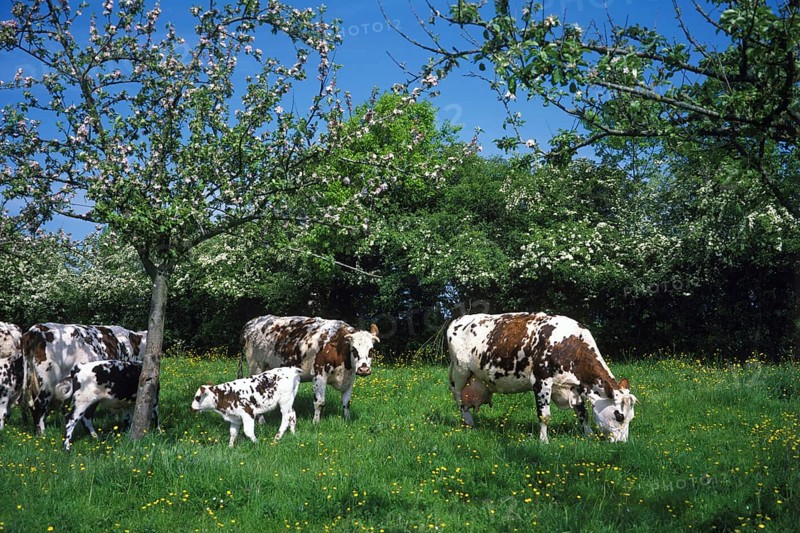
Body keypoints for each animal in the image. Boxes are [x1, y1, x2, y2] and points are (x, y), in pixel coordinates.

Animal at [242, 315, 378, 424]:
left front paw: (347, 420)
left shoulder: (350, 379)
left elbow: (346, 403)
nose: (364, 369)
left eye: (371, 350)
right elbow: (319, 402)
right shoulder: (319, 374)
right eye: (354, 349)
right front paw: (316, 422)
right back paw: (261, 421)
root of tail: (253, 322)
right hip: (255, 367)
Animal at [447, 313, 637, 443]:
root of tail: (459, 319)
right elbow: (544, 415)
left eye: (631, 418)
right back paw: (468, 422)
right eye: (619, 416)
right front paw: (544, 441)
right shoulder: (541, 381)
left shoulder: (575, 386)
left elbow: (583, 414)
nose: (622, 443)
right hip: (460, 371)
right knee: (458, 398)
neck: (569, 346)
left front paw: (589, 435)